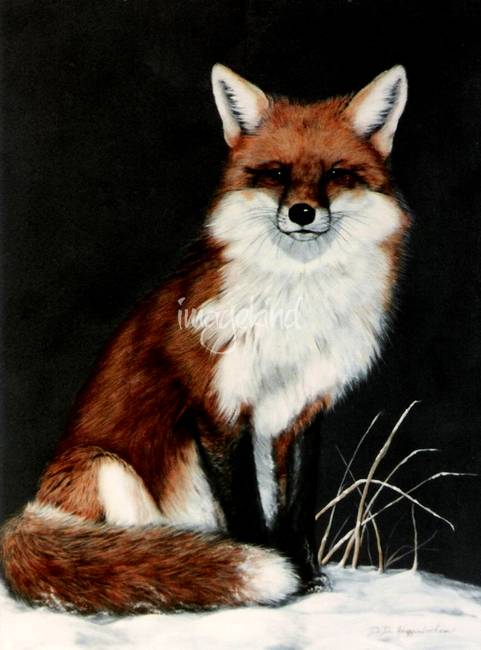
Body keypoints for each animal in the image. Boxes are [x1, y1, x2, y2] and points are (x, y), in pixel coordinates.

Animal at [1, 63, 410, 614]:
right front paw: (275, 574)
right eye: (276, 173)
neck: (296, 309)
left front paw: (306, 574)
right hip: (105, 467)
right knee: (129, 545)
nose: (302, 213)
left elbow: (296, 508)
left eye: (335, 174)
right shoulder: (220, 406)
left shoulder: (303, 410)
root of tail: (31, 510)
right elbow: (247, 510)